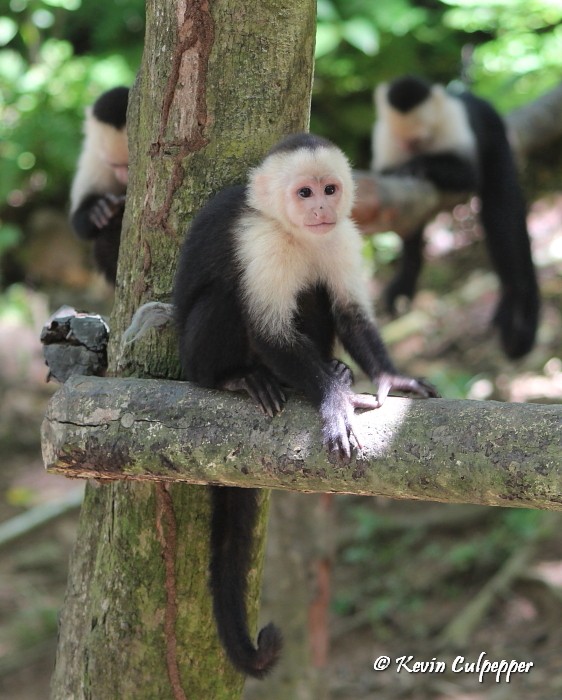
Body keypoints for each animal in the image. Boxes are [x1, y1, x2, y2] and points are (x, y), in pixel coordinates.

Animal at [69, 87, 129, 284]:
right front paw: (98, 210)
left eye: (129, 165)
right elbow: (78, 224)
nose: (123, 177)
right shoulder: (95, 158)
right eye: (114, 165)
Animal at [172, 133, 438, 680]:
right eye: (304, 192)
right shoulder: (259, 241)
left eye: (330, 189)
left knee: (316, 290)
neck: (292, 231)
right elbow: (268, 331)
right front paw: (335, 404)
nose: (320, 208)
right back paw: (238, 379)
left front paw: (389, 378)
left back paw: (326, 371)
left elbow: (350, 312)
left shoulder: (341, 236)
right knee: (228, 298)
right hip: (192, 357)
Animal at [372, 75, 540, 360]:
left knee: (501, 212)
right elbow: (403, 208)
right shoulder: (386, 139)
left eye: (421, 139)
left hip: (494, 132)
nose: (413, 149)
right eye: (406, 143)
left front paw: (418, 165)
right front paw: (408, 270)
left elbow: (468, 173)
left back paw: (514, 297)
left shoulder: (452, 121)